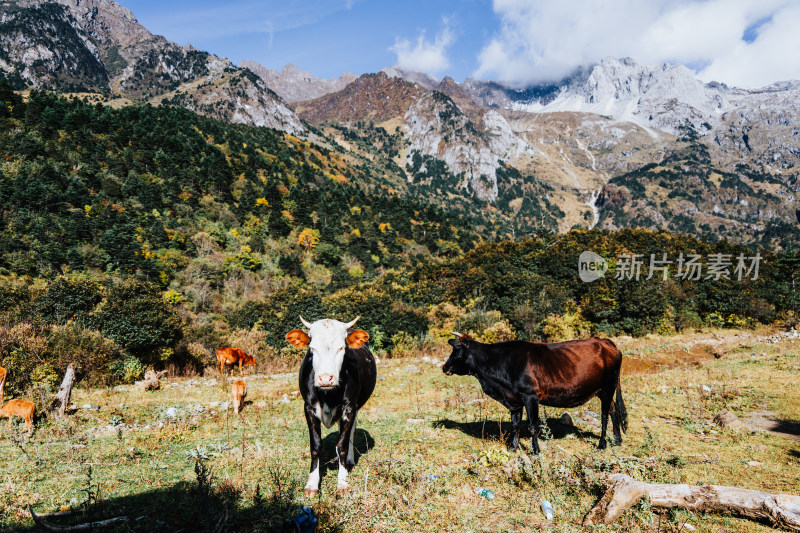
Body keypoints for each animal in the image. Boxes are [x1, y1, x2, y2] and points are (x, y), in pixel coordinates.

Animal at [286, 314, 376, 496]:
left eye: (341, 348)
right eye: (312, 349)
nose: (326, 378)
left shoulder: (349, 407)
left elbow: (342, 445)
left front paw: (342, 482)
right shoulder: (308, 408)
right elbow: (315, 446)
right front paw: (312, 484)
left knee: (351, 433)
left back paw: (349, 461)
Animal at [444, 332, 624, 454]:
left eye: (456, 350)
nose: (444, 367)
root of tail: (604, 341)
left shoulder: (531, 397)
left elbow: (532, 426)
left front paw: (536, 451)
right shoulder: (514, 400)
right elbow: (515, 425)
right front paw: (513, 447)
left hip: (608, 387)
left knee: (605, 415)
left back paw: (602, 444)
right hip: (602, 390)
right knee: (614, 410)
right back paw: (617, 440)